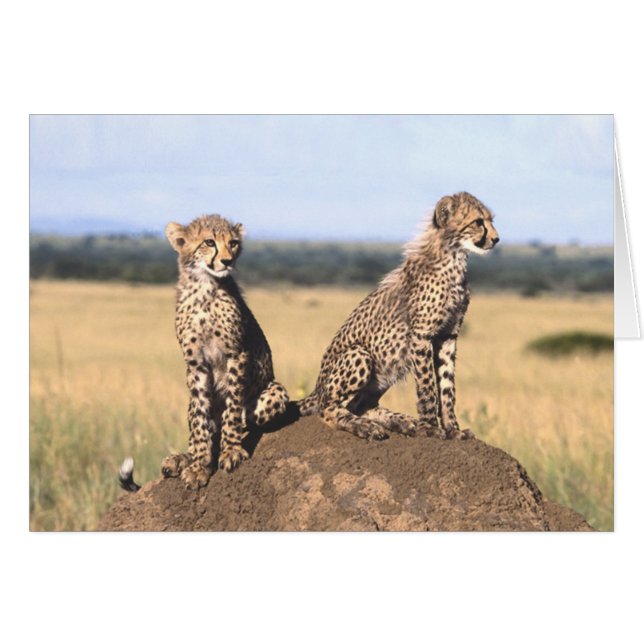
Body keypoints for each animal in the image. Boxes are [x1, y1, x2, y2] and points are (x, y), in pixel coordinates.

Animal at [158, 214, 289, 489]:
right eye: (209, 242)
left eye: (233, 243)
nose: (227, 261)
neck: (204, 288)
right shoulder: (195, 364)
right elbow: (200, 421)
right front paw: (198, 465)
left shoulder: (236, 354)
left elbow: (232, 407)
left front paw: (230, 451)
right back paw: (180, 459)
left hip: (276, 391)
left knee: (242, 418)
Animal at [297, 191, 499, 442]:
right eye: (478, 222)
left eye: (490, 220)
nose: (496, 239)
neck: (454, 257)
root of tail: (316, 389)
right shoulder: (421, 336)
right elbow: (427, 386)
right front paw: (431, 428)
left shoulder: (448, 336)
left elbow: (447, 386)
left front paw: (453, 429)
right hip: (360, 354)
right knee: (327, 409)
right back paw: (367, 427)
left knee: (362, 405)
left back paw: (402, 422)